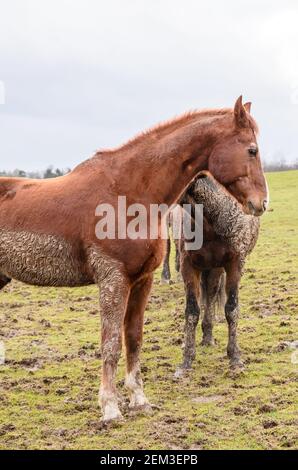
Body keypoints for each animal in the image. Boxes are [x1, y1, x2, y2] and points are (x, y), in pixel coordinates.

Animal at [0, 96, 268, 422]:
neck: (128, 191)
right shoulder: (113, 280)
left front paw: (138, 398)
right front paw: (110, 407)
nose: (261, 202)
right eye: (252, 150)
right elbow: (112, 341)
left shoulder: (142, 280)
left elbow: (134, 338)